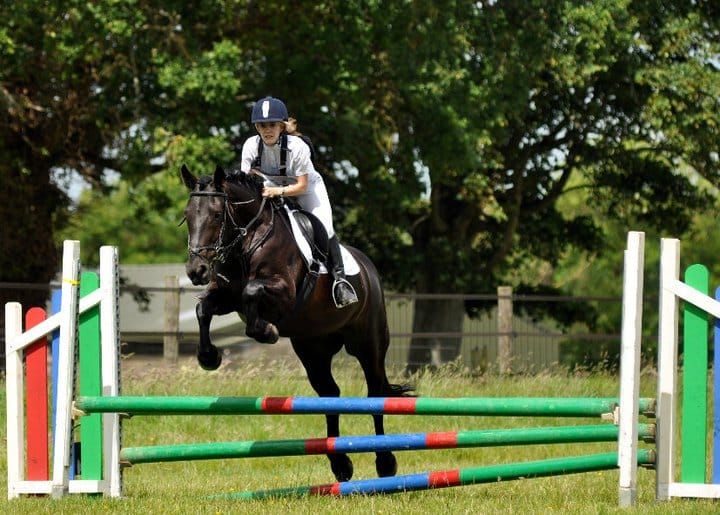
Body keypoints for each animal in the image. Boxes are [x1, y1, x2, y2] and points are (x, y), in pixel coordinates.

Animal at [180, 164, 412, 482]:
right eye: (188, 215)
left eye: (217, 215)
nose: (197, 271)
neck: (248, 239)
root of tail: (369, 270)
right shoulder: (227, 296)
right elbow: (203, 308)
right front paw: (208, 357)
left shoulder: (283, 293)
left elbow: (252, 291)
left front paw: (266, 331)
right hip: (313, 349)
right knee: (330, 394)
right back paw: (340, 464)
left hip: (368, 343)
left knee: (375, 393)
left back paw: (385, 461)